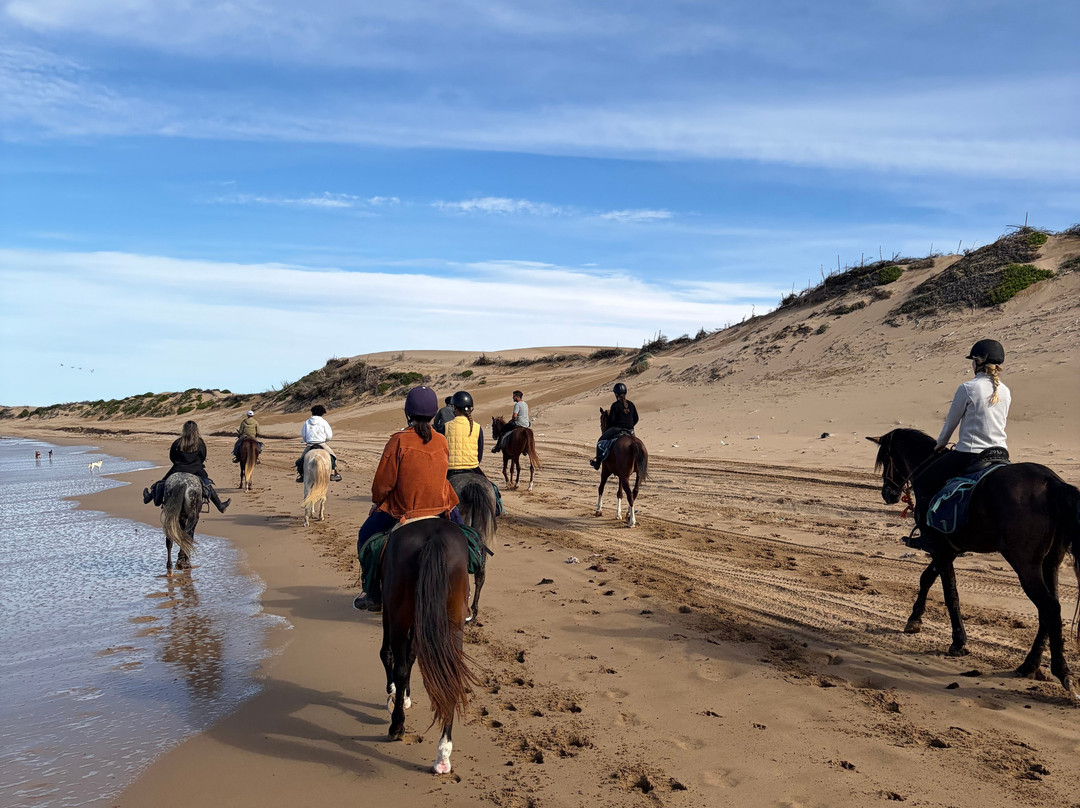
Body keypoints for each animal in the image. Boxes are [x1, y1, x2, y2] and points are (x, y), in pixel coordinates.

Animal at [379, 518, 477, 774]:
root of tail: (435, 539)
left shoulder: (389, 614)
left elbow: (389, 655)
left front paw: (395, 694)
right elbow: (412, 655)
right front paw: (403, 696)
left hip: (399, 615)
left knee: (401, 666)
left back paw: (396, 727)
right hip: (452, 621)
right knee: (450, 675)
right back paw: (443, 754)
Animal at [868, 428, 1080, 698]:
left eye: (886, 459)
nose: (888, 494)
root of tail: (1052, 483)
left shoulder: (941, 548)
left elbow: (950, 593)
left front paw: (958, 641)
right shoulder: (948, 549)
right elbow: (927, 578)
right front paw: (914, 619)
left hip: (1026, 564)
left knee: (1049, 607)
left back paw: (1061, 671)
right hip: (1050, 563)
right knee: (1051, 608)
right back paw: (1029, 665)